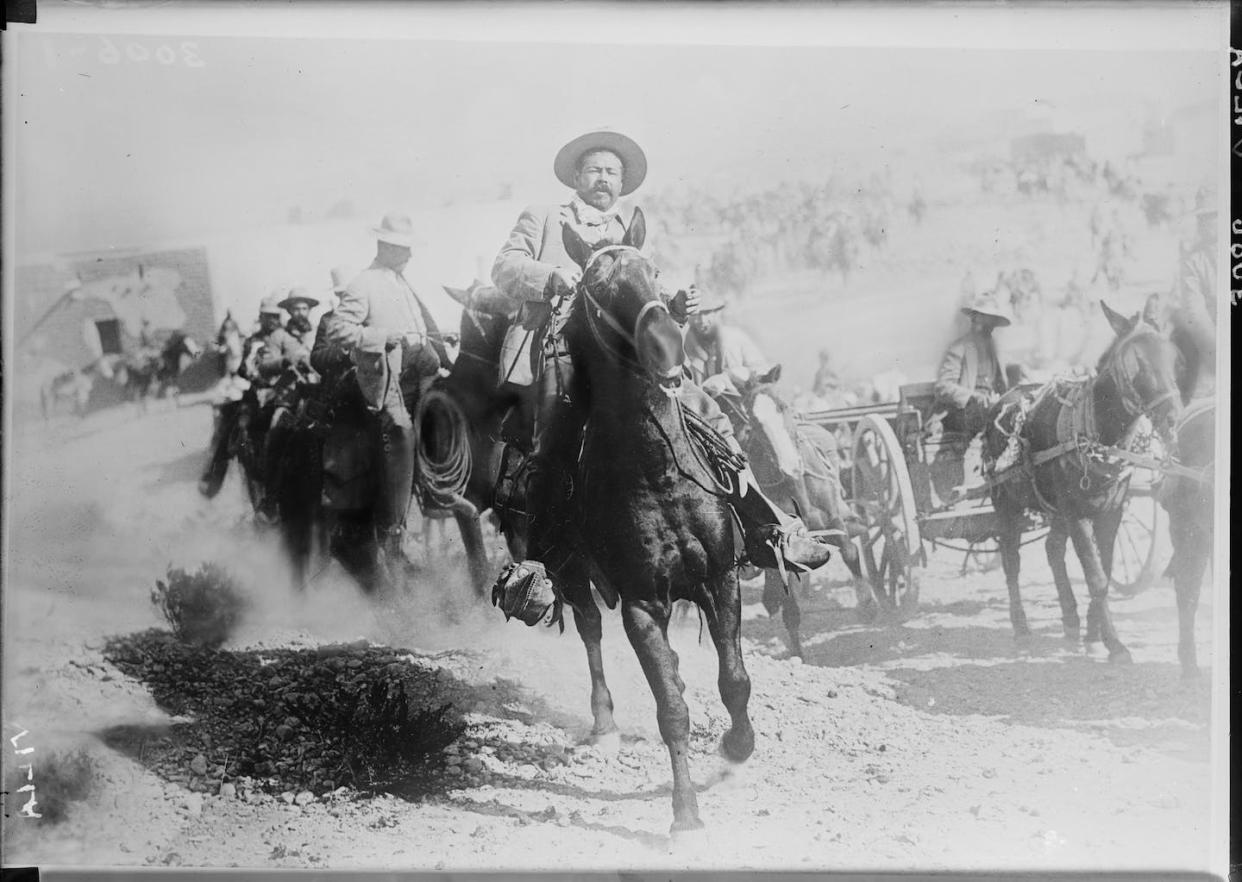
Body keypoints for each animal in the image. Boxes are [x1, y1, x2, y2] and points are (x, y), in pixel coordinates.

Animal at [531, 217, 745, 839]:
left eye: (654, 271)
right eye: (598, 288)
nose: (669, 348)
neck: (658, 472)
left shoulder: (721, 579)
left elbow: (734, 681)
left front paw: (737, 747)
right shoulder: (641, 604)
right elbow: (670, 707)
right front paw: (685, 814)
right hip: (573, 578)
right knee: (589, 633)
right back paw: (603, 728)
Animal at [983, 300, 1177, 660]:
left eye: (1173, 357)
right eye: (1136, 362)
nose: (1172, 418)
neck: (1096, 432)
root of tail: (1004, 398)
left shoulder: (1111, 513)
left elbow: (1106, 569)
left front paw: (1093, 631)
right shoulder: (1078, 515)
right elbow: (1095, 576)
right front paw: (1115, 644)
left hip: (1056, 509)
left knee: (1052, 549)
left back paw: (1071, 619)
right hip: (1006, 504)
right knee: (1011, 561)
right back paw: (1021, 627)